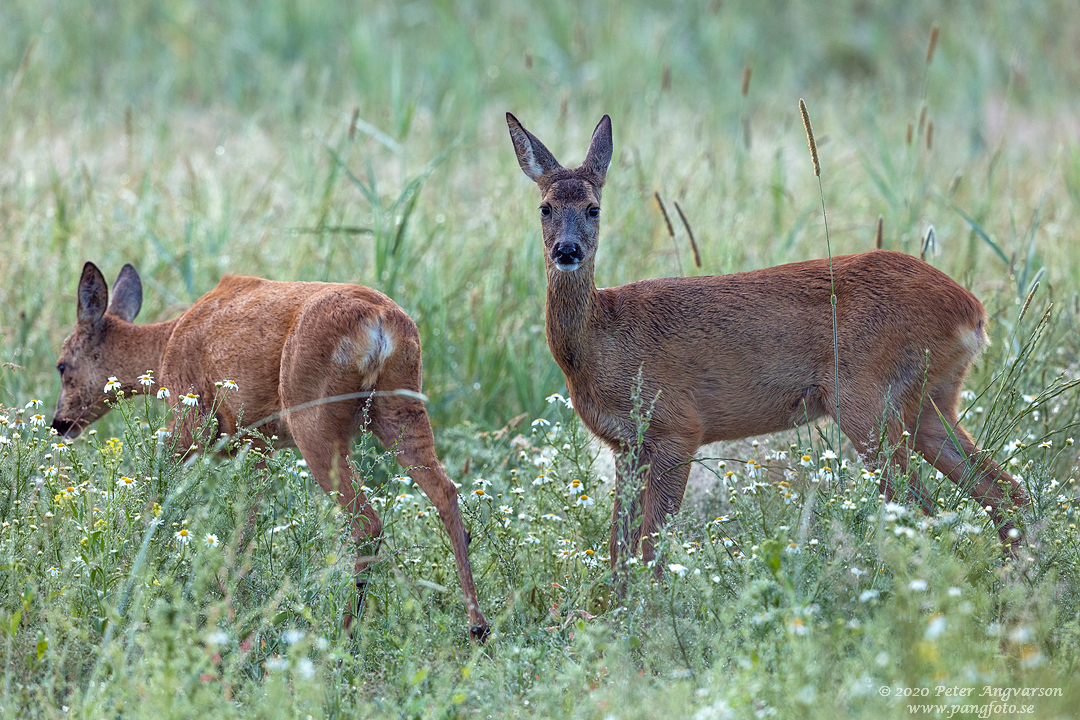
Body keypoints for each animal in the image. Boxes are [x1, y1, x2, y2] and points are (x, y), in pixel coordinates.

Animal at [50, 263, 490, 643]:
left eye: (61, 365)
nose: (59, 423)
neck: (163, 350)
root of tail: (381, 321)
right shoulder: (257, 442)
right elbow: (246, 524)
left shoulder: (192, 418)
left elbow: (160, 488)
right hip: (401, 406)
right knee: (445, 492)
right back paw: (478, 628)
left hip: (313, 415)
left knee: (367, 522)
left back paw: (343, 635)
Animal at [505, 112, 1028, 574]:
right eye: (545, 208)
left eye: (594, 208)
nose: (567, 250)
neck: (600, 341)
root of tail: (972, 311)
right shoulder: (626, 445)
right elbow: (619, 549)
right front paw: (608, 616)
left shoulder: (678, 426)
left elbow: (651, 550)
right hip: (930, 400)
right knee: (1004, 491)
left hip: (866, 398)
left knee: (925, 511)